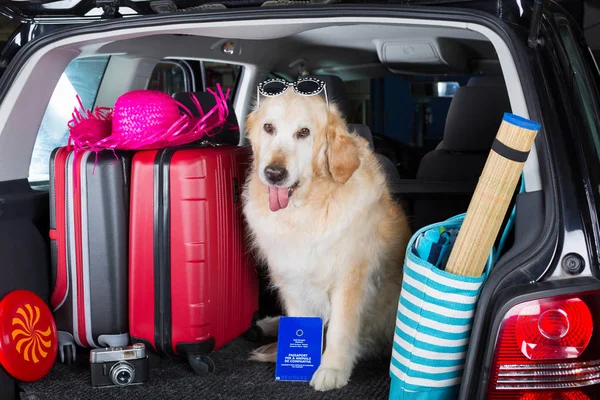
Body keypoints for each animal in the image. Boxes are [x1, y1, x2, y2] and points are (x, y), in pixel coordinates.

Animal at [241, 87, 410, 390]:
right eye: (269, 128)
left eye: (304, 132)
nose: (274, 173)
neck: (304, 210)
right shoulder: (291, 277)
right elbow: (300, 318)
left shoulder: (350, 277)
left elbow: (340, 329)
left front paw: (331, 369)